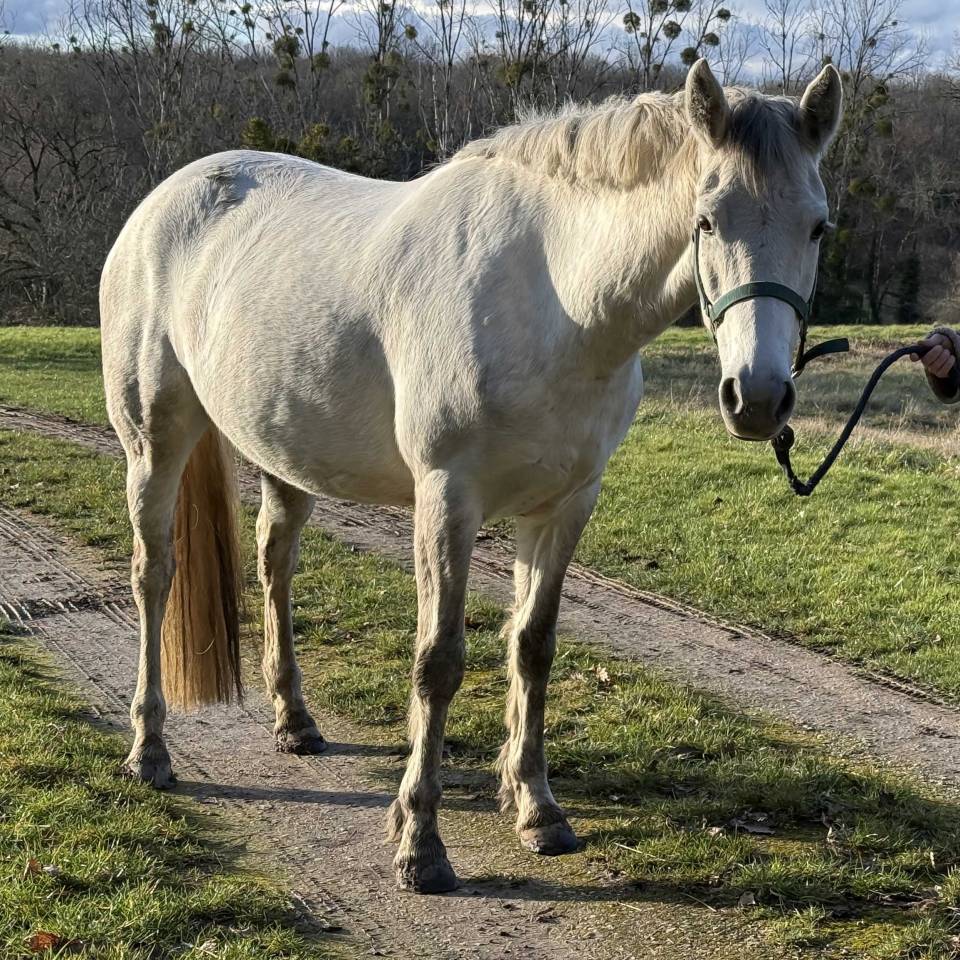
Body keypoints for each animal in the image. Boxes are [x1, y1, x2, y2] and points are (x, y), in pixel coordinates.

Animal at [100, 59, 842, 894]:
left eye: (817, 226)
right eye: (708, 220)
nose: (758, 398)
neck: (554, 297)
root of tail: (161, 203)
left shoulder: (562, 506)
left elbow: (533, 646)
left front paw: (537, 809)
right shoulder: (447, 499)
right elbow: (440, 662)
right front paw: (421, 843)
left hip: (285, 455)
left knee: (274, 565)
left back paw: (294, 720)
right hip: (155, 444)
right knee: (153, 575)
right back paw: (149, 750)